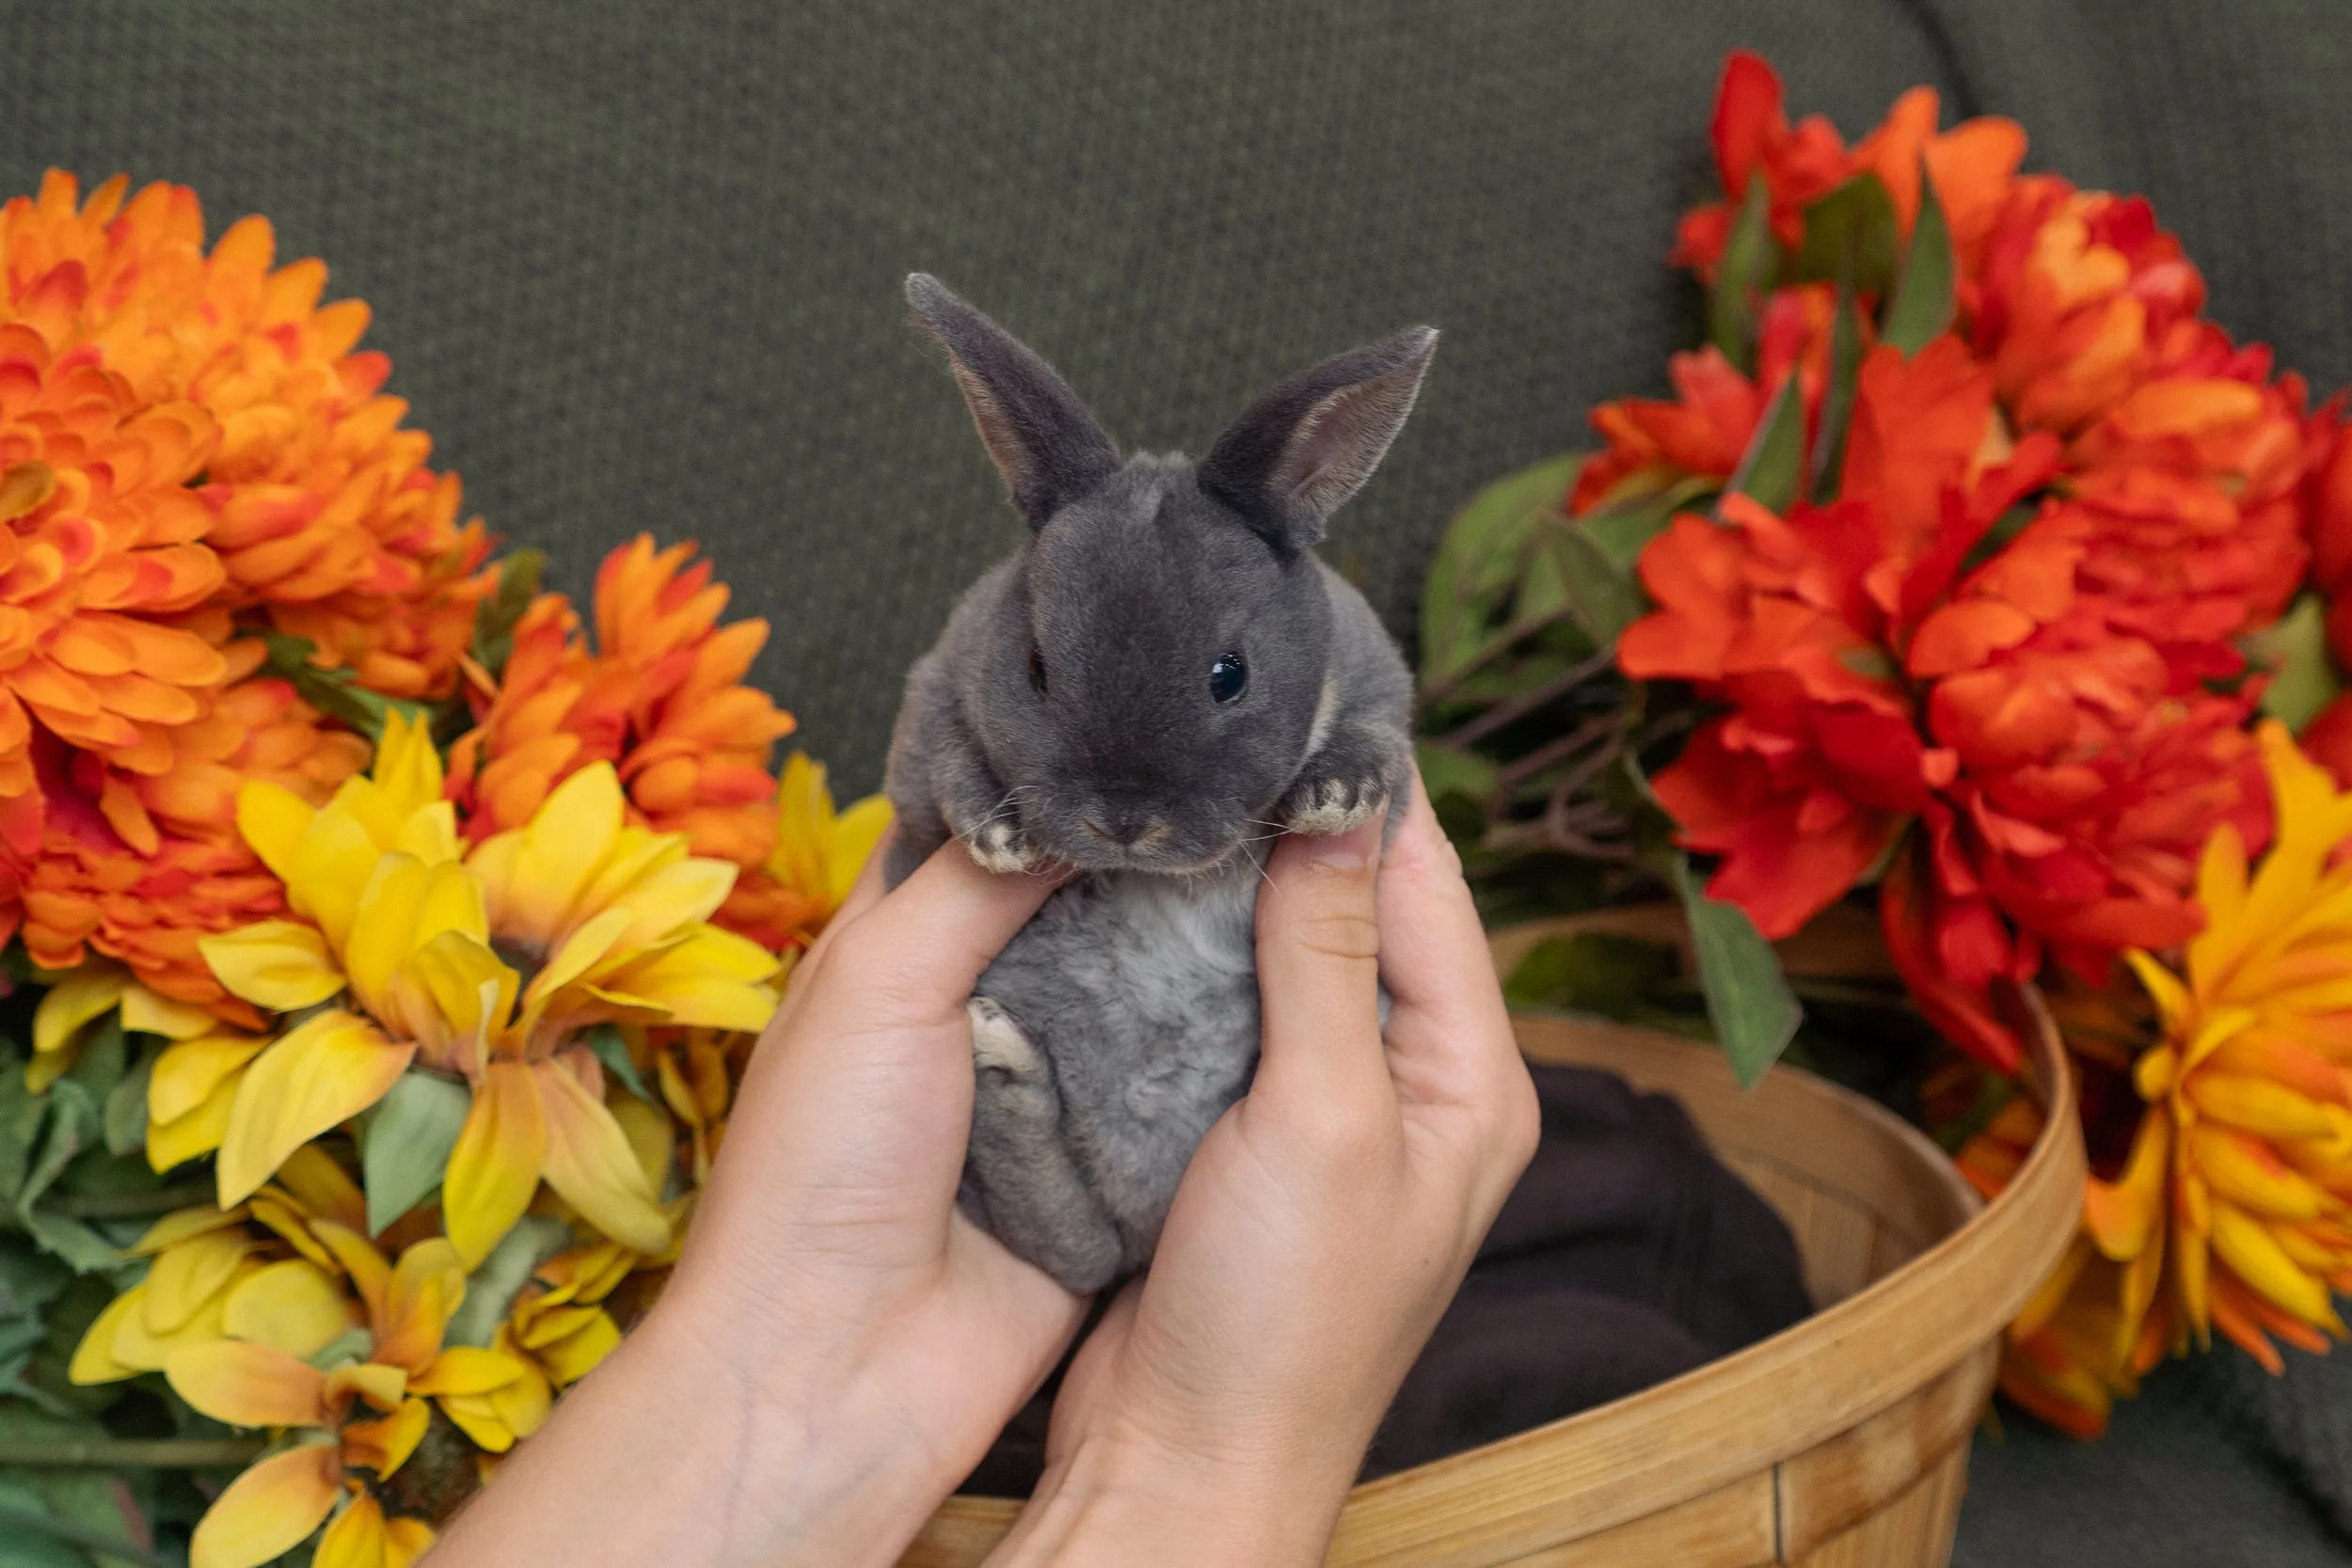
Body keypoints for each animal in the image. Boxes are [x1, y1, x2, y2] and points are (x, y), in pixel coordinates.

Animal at [882, 273, 1432, 1293]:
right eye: (1036, 666)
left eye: (1230, 673)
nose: (1125, 818)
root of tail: (1140, 1242)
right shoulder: (933, 704)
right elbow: (948, 763)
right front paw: (1000, 837)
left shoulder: (1382, 691)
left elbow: (1374, 736)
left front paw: (1336, 796)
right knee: (1059, 1230)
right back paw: (1001, 1062)